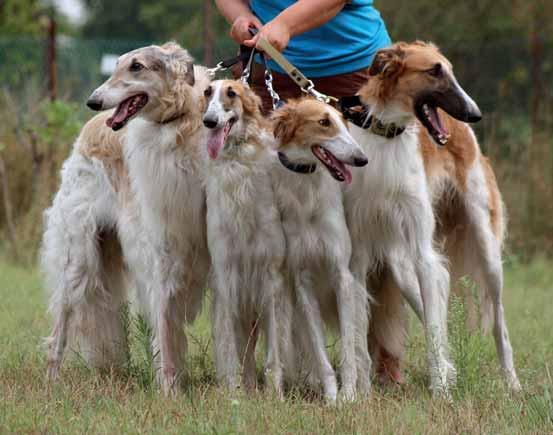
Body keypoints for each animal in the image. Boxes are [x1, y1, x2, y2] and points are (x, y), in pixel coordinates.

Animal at [42, 43, 211, 396]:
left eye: (136, 66)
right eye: (117, 63)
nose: (92, 100)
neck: (178, 123)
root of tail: (89, 127)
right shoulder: (162, 252)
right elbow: (164, 329)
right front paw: (170, 392)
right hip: (78, 258)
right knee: (58, 330)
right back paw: (51, 383)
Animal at [203, 79, 286, 396]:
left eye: (232, 93)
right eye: (206, 93)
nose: (209, 121)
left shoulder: (270, 275)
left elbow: (273, 353)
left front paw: (276, 395)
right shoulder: (226, 273)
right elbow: (230, 350)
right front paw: (233, 393)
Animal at [268, 99, 368, 406]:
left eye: (343, 121)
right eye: (323, 122)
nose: (362, 159)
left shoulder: (342, 276)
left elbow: (347, 349)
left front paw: (348, 396)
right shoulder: (303, 282)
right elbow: (319, 350)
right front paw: (331, 396)